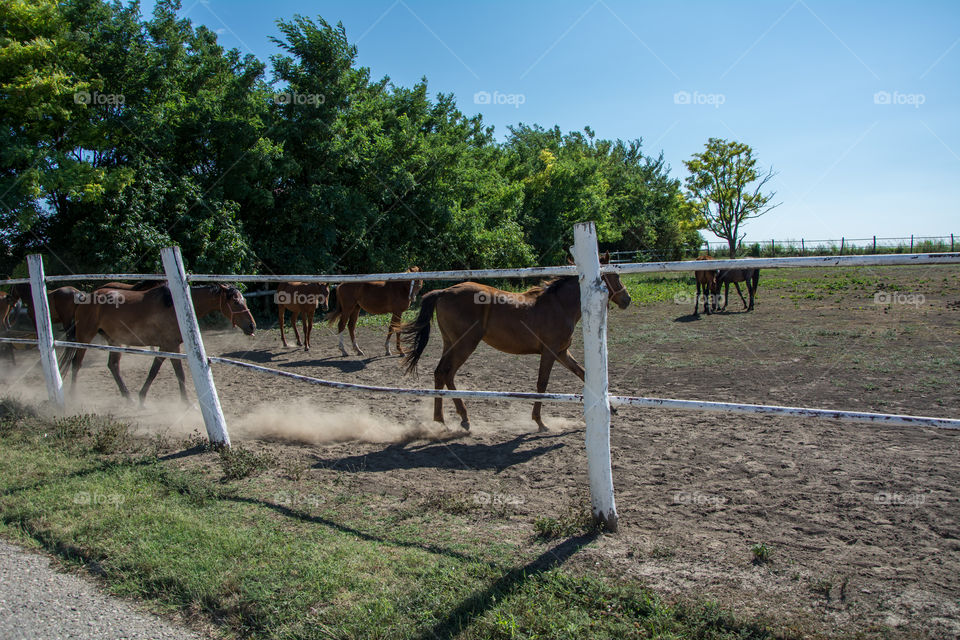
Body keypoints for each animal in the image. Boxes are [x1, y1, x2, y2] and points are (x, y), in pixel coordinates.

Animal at [65, 284, 256, 402]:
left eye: (244, 300)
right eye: (235, 302)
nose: (252, 326)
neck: (176, 307)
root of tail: (85, 298)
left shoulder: (166, 347)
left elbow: (154, 371)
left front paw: (142, 398)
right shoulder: (171, 346)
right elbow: (179, 374)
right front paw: (188, 404)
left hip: (115, 341)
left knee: (113, 366)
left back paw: (129, 398)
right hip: (85, 337)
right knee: (77, 364)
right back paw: (72, 397)